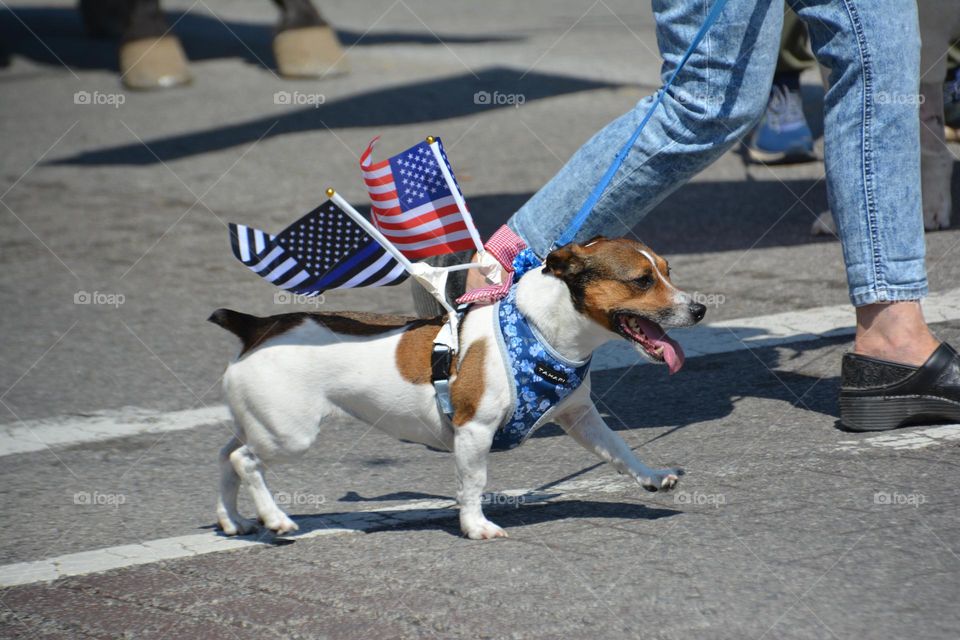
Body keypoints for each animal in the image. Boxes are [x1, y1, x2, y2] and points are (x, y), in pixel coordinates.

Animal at [210, 239, 704, 540]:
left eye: (667, 271)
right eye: (642, 280)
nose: (699, 309)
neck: (538, 331)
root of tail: (256, 326)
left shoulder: (580, 417)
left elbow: (620, 450)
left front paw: (652, 477)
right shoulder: (474, 430)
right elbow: (472, 482)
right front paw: (475, 525)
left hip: (261, 422)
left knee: (225, 457)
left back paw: (233, 519)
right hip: (289, 434)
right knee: (244, 461)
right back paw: (276, 519)